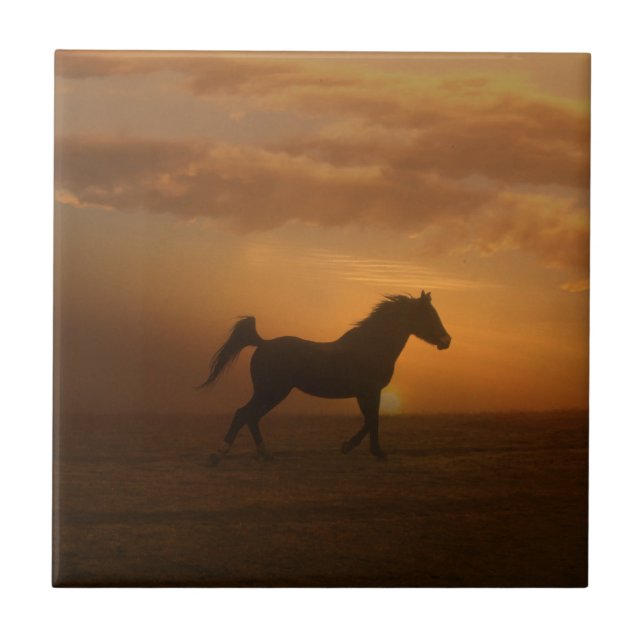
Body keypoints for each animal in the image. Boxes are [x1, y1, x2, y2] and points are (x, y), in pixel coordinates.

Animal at [199, 291, 451, 463]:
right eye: (428, 315)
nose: (446, 341)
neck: (371, 347)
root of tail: (263, 343)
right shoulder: (368, 392)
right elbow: (373, 420)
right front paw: (364, 449)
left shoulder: (366, 393)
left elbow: (371, 419)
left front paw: (359, 448)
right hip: (271, 392)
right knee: (244, 414)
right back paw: (220, 454)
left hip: (272, 393)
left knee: (251, 417)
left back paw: (265, 454)